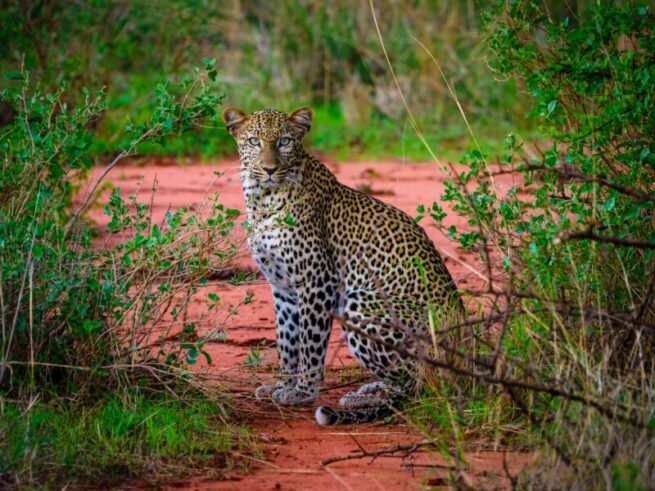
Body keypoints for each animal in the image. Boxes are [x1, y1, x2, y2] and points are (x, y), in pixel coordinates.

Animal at [223, 107, 463, 425]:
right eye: (253, 142)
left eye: (285, 141)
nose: (270, 169)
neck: (262, 200)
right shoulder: (282, 288)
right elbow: (286, 340)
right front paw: (281, 385)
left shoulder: (317, 281)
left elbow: (309, 342)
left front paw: (303, 391)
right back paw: (368, 390)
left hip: (362, 303)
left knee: (419, 385)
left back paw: (365, 398)